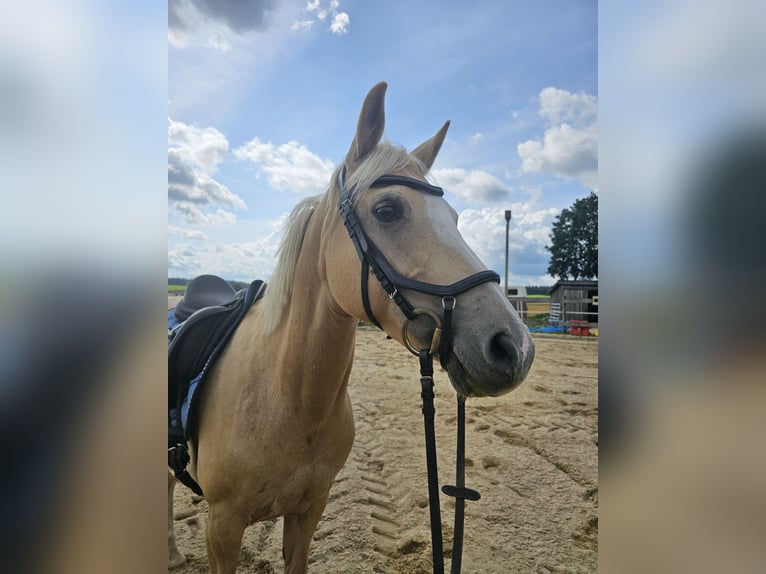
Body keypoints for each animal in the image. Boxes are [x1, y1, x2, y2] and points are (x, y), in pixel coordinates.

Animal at [170, 82, 536, 574]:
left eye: (456, 218)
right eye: (387, 209)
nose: (513, 347)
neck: (288, 398)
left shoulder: (308, 512)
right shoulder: (222, 528)